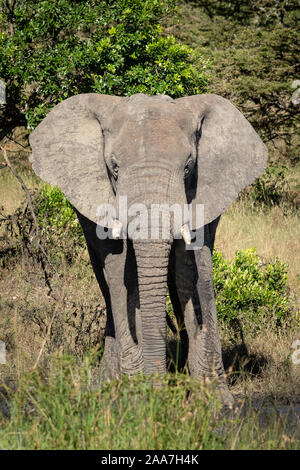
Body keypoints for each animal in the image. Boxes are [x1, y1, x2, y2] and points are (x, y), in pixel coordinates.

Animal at [28, 92, 268, 404]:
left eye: (188, 167)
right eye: (114, 168)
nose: (158, 391)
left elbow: (193, 273)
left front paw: (217, 404)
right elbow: (122, 275)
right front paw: (136, 398)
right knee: (107, 286)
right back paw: (106, 386)